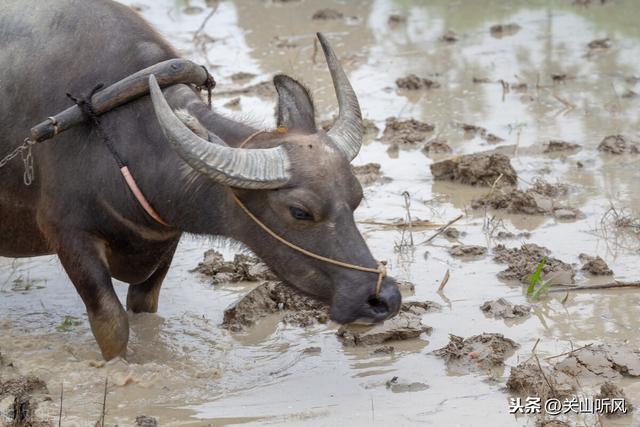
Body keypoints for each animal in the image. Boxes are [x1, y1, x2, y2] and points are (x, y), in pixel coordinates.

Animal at [0, 0, 400, 362]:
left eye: (357, 197)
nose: (383, 298)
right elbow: (112, 325)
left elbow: (143, 306)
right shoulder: (68, 235)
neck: (122, 136)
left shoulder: (165, 238)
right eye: (300, 211)